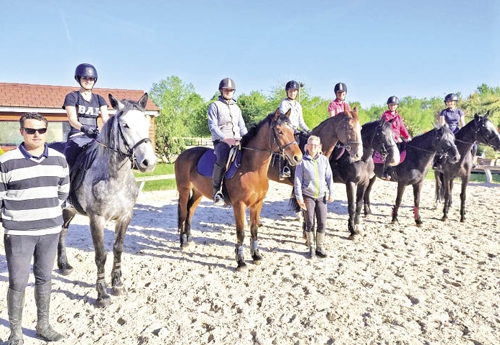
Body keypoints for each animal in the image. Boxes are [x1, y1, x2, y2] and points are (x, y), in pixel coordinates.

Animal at [54, 92, 156, 306]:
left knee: (62, 231)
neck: (115, 177)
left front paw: (117, 284)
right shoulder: (96, 219)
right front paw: (102, 294)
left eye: (146, 122)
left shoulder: (125, 217)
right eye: (125, 125)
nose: (148, 163)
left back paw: (64, 265)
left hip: (68, 210)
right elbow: (101, 255)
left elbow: (118, 249)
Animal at [174, 107, 302, 268]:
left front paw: (256, 255)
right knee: (184, 212)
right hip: (184, 190)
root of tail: (183, 154)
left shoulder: (257, 204)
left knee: (190, 211)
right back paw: (183, 242)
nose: (298, 157)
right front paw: (240, 261)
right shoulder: (239, 205)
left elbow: (254, 230)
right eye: (279, 131)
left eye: (293, 131)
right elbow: (241, 232)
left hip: (198, 192)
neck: (251, 168)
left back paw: (189, 239)